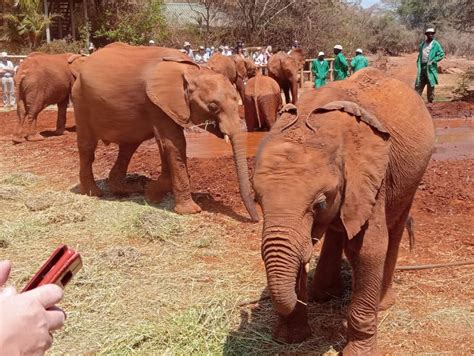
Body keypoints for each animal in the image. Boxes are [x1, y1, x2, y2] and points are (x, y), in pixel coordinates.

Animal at [71, 43, 260, 221]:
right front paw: (189, 210)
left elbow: (168, 145)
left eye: (235, 101)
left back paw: (127, 190)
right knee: (88, 148)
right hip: (81, 101)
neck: (192, 71)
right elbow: (174, 144)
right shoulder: (156, 103)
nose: (256, 219)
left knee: (128, 147)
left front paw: (151, 193)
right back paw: (93, 193)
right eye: (213, 107)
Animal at [254, 68, 436, 354]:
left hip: (412, 177)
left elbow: (368, 250)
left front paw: (357, 351)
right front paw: (290, 338)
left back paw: (381, 303)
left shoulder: (373, 176)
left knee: (393, 229)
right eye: (257, 200)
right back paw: (323, 295)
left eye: (318, 204)